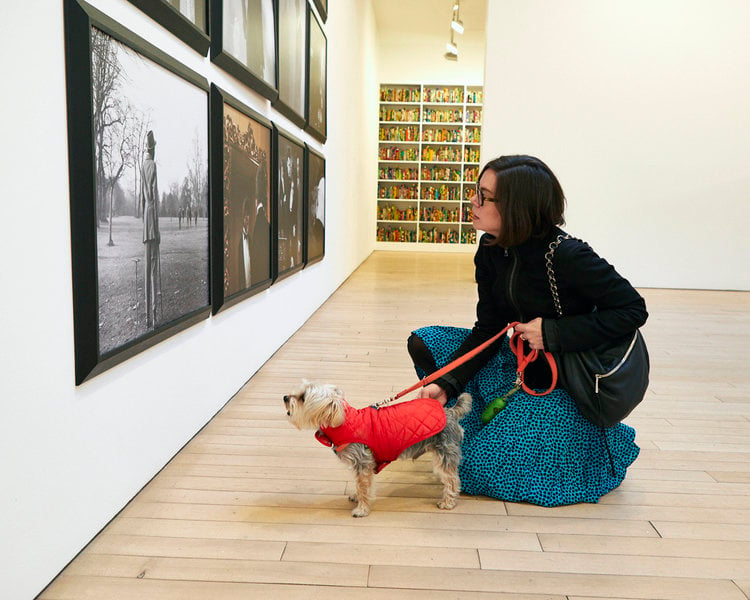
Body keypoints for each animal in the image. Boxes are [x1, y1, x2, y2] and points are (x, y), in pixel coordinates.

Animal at [284, 382, 472, 516]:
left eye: (302, 397)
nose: (285, 396)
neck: (344, 422)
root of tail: (451, 412)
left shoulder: (363, 463)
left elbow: (364, 486)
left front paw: (361, 509)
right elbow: (359, 484)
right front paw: (356, 496)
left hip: (444, 453)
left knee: (452, 480)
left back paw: (447, 502)